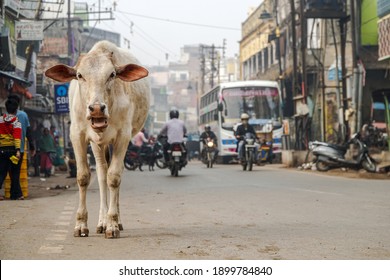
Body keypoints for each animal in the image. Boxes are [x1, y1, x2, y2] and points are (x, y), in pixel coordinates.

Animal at [45, 41, 150, 238]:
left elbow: (114, 178)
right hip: (97, 144)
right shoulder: (76, 135)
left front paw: (113, 224)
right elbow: (83, 177)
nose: (96, 109)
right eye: (79, 75)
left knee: (114, 174)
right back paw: (101, 221)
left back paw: (115, 220)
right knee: (101, 174)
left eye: (112, 75)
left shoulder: (123, 136)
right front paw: (81, 225)